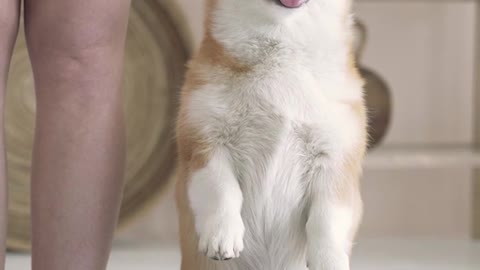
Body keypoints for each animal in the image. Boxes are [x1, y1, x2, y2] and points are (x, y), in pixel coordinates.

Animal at [176, 0, 368, 268]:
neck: (283, 47)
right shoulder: (206, 143)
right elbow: (222, 191)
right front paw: (222, 236)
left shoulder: (335, 161)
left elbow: (326, 220)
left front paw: (329, 260)